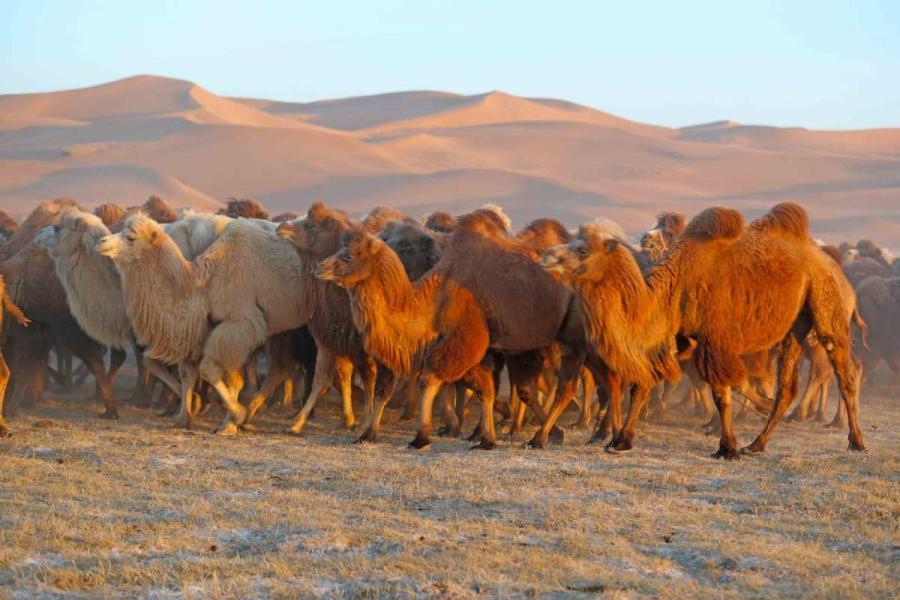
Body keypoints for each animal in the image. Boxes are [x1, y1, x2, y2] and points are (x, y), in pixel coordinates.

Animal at [540, 203, 864, 460]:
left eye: (582, 249)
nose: (546, 256)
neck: (677, 280)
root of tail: (833, 266)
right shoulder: (677, 334)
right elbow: (643, 386)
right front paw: (620, 442)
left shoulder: (714, 339)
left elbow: (721, 393)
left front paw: (726, 448)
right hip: (793, 329)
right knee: (787, 387)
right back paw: (757, 444)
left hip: (827, 308)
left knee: (844, 373)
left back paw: (856, 441)